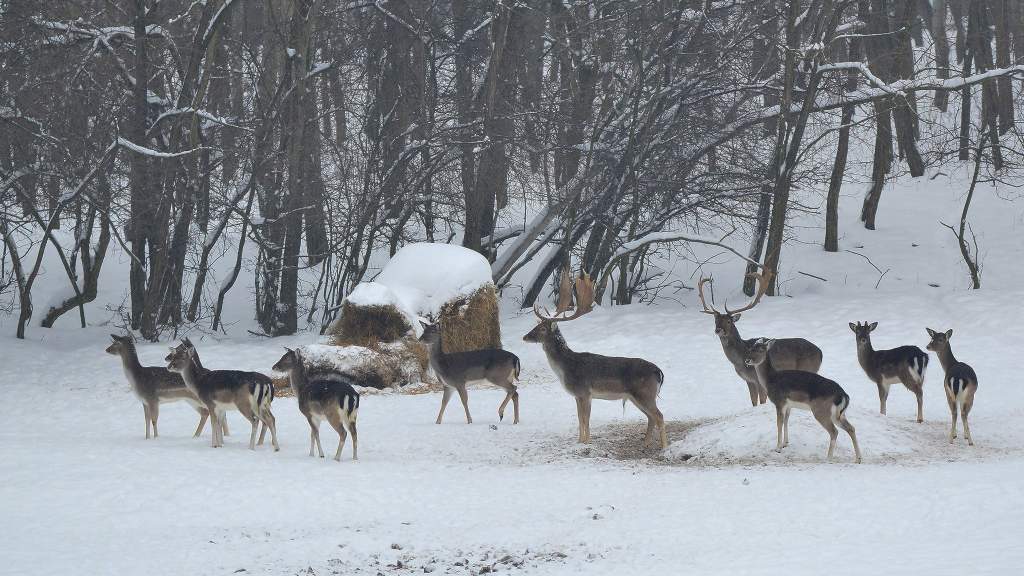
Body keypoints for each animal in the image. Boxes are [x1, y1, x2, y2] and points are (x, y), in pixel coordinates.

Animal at [524, 272, 667, 448]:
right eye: (536, 326)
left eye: (543, 328)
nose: (525, 336)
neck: (565, 368)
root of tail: (658, 371)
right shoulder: (577, 395)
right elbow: (580, 419)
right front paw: (580, 441)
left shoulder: (584, 391)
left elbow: (585, 419)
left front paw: (586, 442)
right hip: (637, 397)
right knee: (651, 417)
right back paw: (645, 443)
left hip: (645, 393)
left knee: (659, 416)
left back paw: (664, 447)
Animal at [696, 270, 823, 405]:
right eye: (716, 321)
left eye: (729, 321)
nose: (718, 330)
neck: (740, 360)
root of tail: (820, 352)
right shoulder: (749, 380)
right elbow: (753, 402)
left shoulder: (758, 380)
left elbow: (762, 401)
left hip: (808, 367)